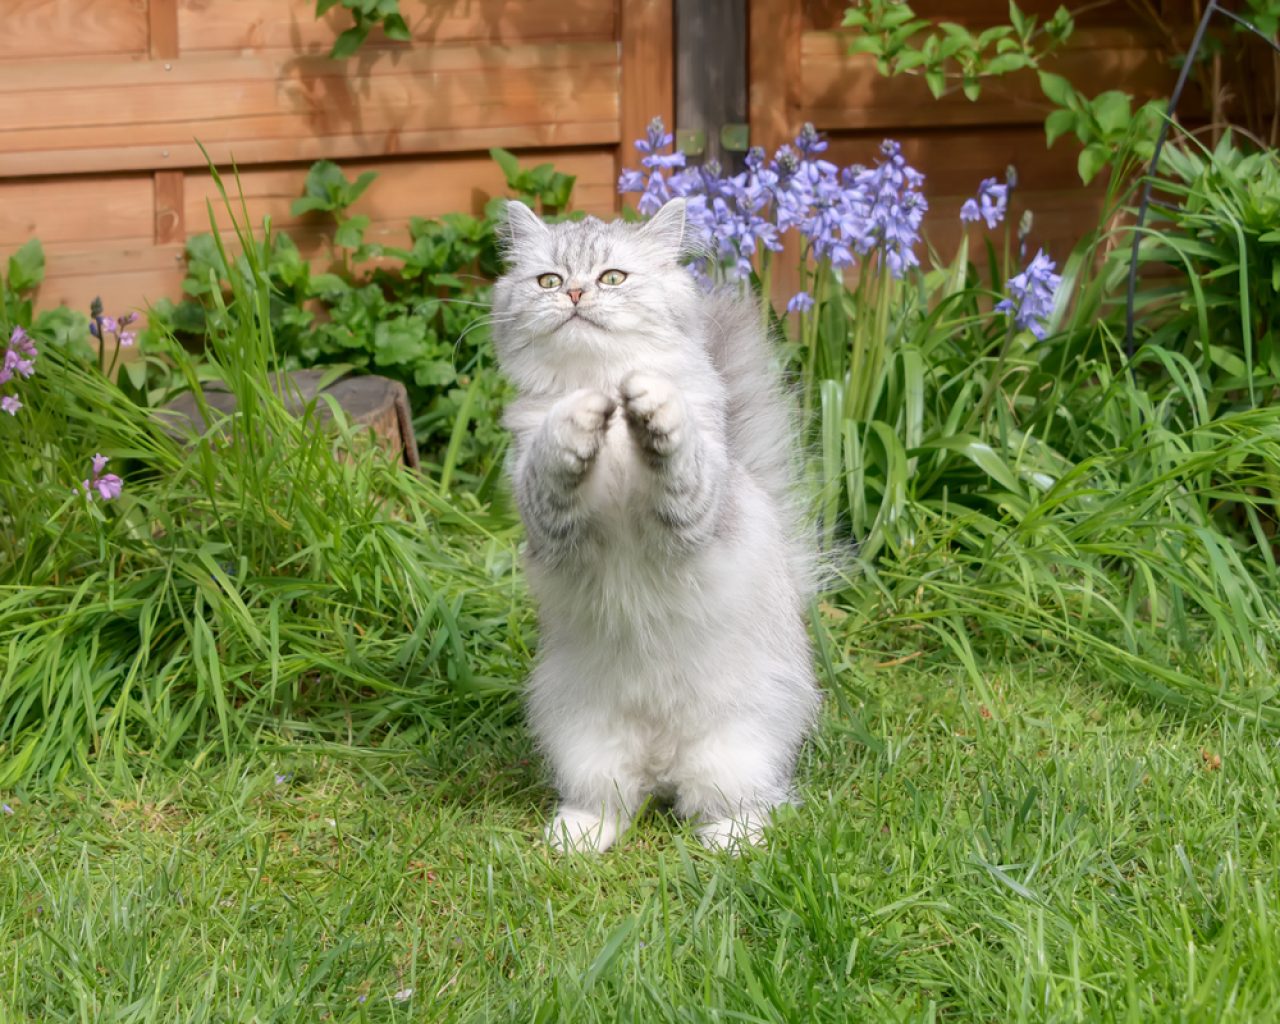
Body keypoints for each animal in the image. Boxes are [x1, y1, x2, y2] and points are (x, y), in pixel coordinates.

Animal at [488, 195, 819, 849]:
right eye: (549, 281)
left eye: (612, 278)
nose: (576, 295)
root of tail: (663, 761)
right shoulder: (550, 525)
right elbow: (554, 455)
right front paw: (581, 415)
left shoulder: (693, 518)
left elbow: (676, 453)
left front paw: (646, 402)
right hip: (586, 744)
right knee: (615, 802)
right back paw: (575, 841)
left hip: (733, 752)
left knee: (737, 805)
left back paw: (730, 843)